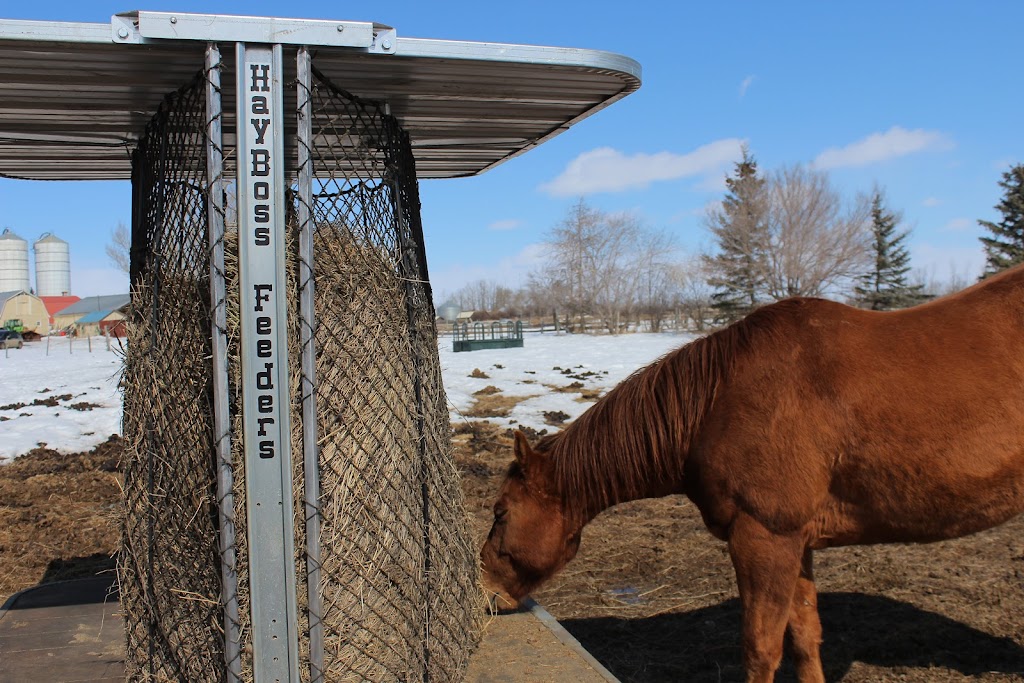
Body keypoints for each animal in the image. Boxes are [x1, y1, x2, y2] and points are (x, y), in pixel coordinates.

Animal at [479, 264, 1024, 683]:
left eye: (501, 512)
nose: (482, 590)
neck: (718, 402)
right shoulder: (796, 542)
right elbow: (805, 637)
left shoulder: (763, 539)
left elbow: (761, 649)